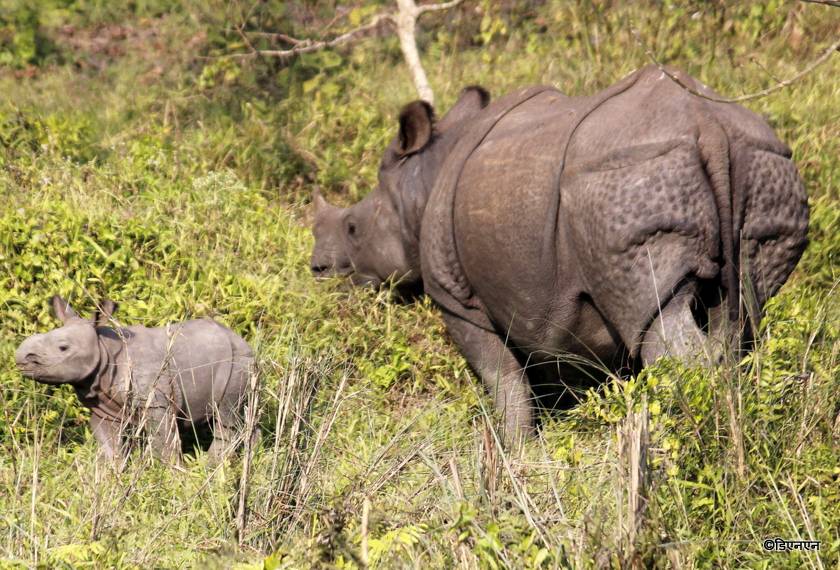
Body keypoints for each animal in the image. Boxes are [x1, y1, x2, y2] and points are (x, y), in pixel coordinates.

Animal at [14, 296, 253, 464]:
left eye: (63, 348)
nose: (20, 357)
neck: (104, 349)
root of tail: (243, 341)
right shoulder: (104, 408)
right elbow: (109, 445)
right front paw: (112, 475)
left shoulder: (156, 402)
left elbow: (163, 441)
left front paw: (171, 476)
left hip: (237, 362)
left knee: (226, 416)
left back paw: (210, 466)